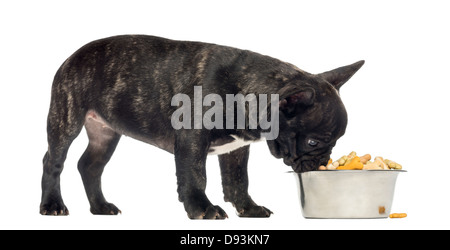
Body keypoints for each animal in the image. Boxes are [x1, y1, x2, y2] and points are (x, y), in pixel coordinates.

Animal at [37, 35, 362, 219]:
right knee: (54, 162)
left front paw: (248, 208)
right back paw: (52, 205)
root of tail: (73, 56)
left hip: (105, 133)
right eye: (313, 143)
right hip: (66, 119)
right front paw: (202, 209)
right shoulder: (192, 140)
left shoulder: (235, 149)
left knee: (90, 165)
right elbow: (196, 176)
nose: (323, 161)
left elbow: (238, 180)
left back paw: (100, 207)